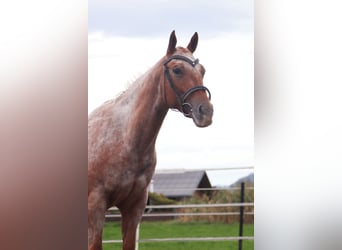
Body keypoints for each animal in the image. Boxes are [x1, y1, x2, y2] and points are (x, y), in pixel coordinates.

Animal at [87, 30, 212, 249]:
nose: (205, 112)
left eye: (202, 70)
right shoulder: (95, 208)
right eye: (177, 70)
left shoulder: (134, 209)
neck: (124, 139)